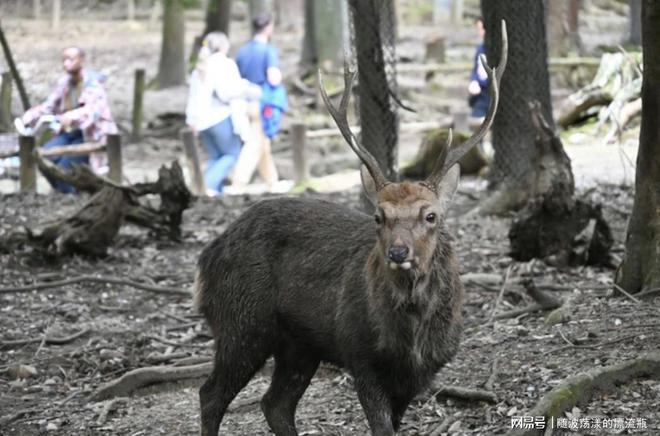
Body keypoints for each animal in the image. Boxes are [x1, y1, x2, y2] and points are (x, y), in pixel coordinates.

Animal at [193, 22, 508, 436]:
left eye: (430, 216)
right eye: (379, 216)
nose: (398, 252)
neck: (410, 338)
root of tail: (206, 257)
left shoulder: (421, 373)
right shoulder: (360, 355)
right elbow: (381, 428)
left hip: (298, 344)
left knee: (275, 403)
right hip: (241, 321)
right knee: (211, 393)